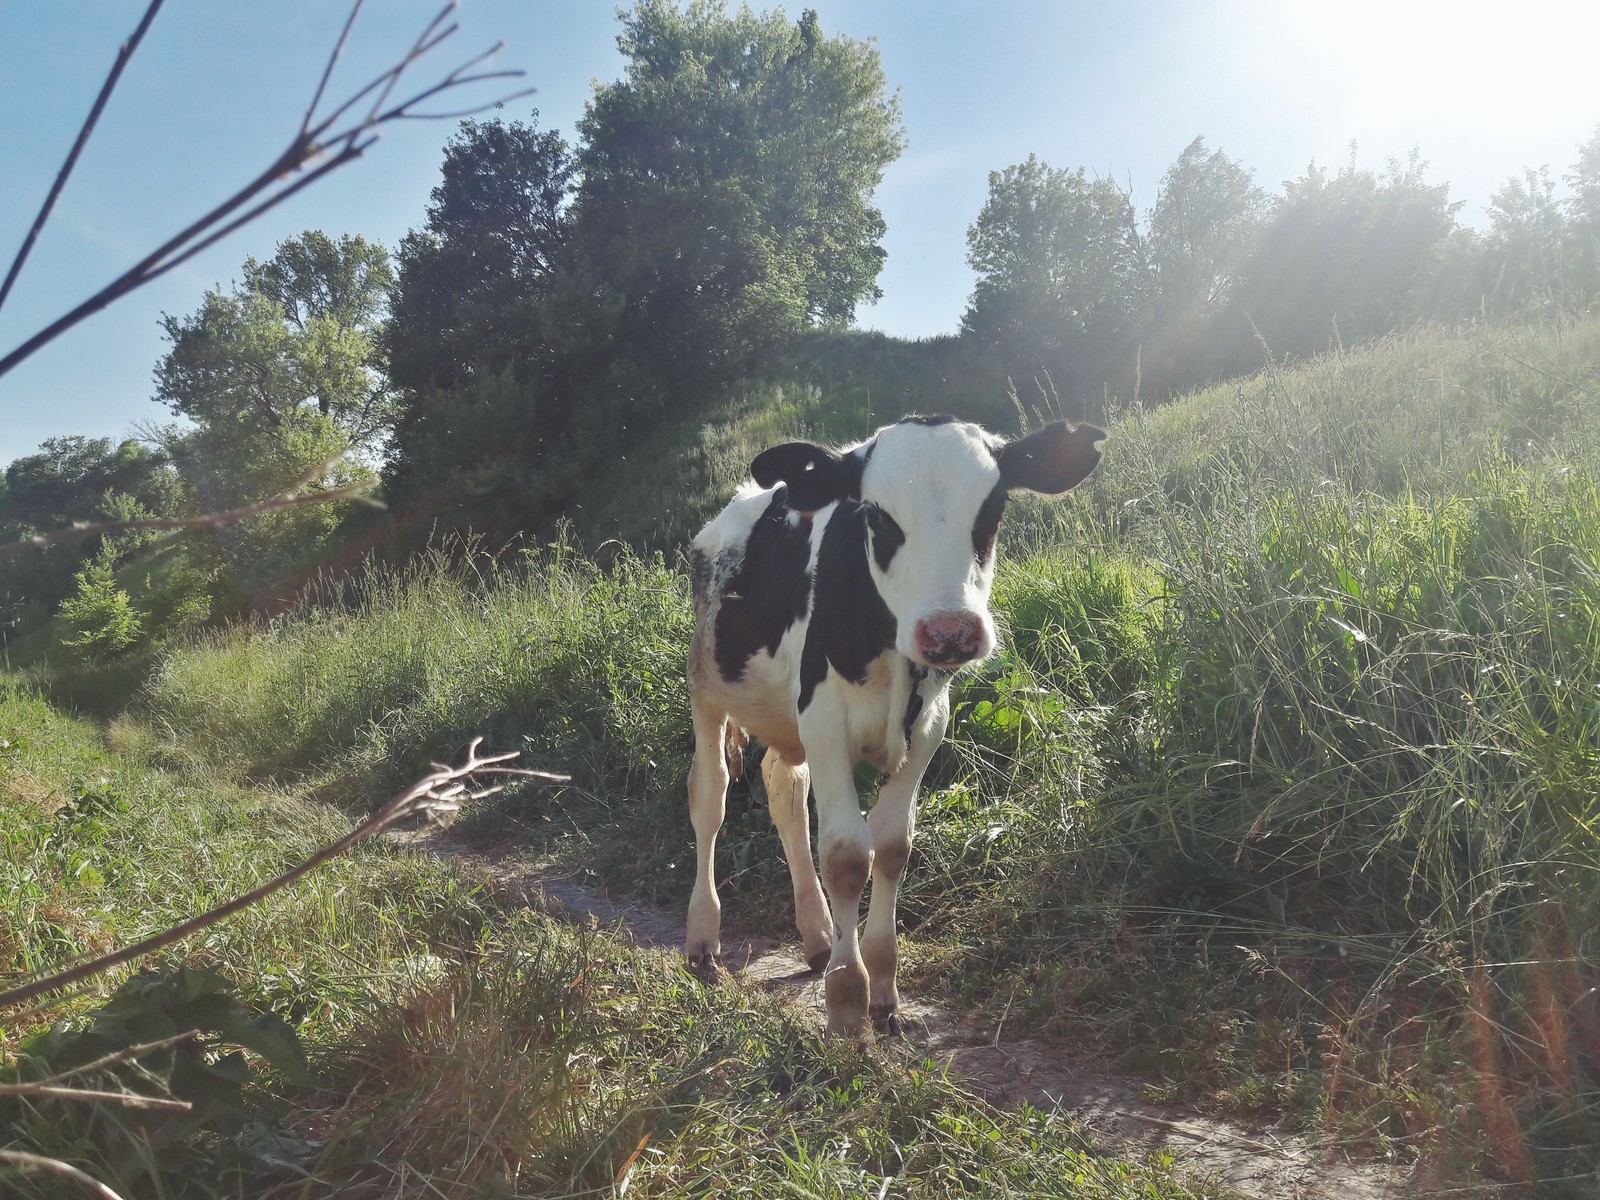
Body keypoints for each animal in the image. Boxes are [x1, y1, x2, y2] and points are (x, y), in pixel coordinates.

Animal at [681, 412, 1107, 1036]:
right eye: (877, 516)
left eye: (993, 508)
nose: (951, 631)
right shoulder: (825, 719)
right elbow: (845, 855)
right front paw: (846, 999)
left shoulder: (928, 727)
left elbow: (892, 846)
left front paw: (881, 983)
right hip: (707, 689)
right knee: (709, 797)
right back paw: (703, 936)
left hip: (786, 721)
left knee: (784, 789)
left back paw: (815, 935)